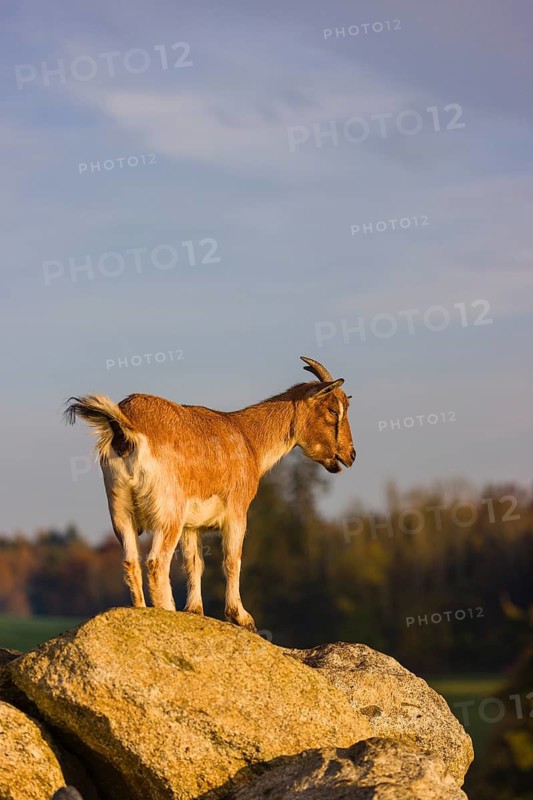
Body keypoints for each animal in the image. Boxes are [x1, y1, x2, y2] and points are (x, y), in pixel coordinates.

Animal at [64, 356, 356, 631]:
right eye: (333, 410)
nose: (350, 455)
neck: (248, 440)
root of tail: (125, 428)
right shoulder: (236, 512)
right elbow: (232, 559)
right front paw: (242, 617)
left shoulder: (192, 526)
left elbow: (194, 562)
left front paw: (195, 610)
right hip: (168, 512)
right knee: (157, 561)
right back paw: (166, 612)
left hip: (120, 508)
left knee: (130, 561)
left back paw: (141, 611)